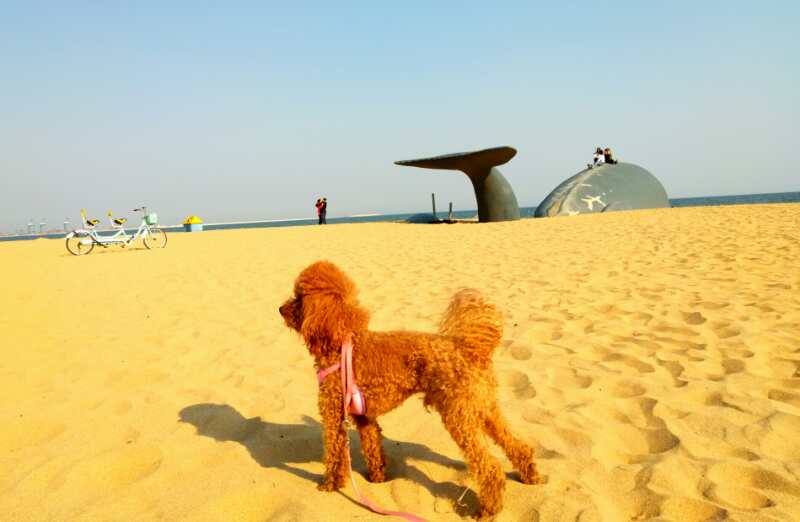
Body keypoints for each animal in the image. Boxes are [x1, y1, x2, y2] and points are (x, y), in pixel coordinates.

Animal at [279, 260, 541, 517]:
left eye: (299, 297)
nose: (280, 309)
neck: (340, 343)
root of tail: (471, 350)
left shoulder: (333, 415)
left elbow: (334, 453)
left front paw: (329, 485)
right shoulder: (364, 416)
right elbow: (373, 449)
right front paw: (378, 478)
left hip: (458, 416)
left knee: (489, 466)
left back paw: (488, 509)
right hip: (483, 407)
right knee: (517, 445)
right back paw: (530, 476)